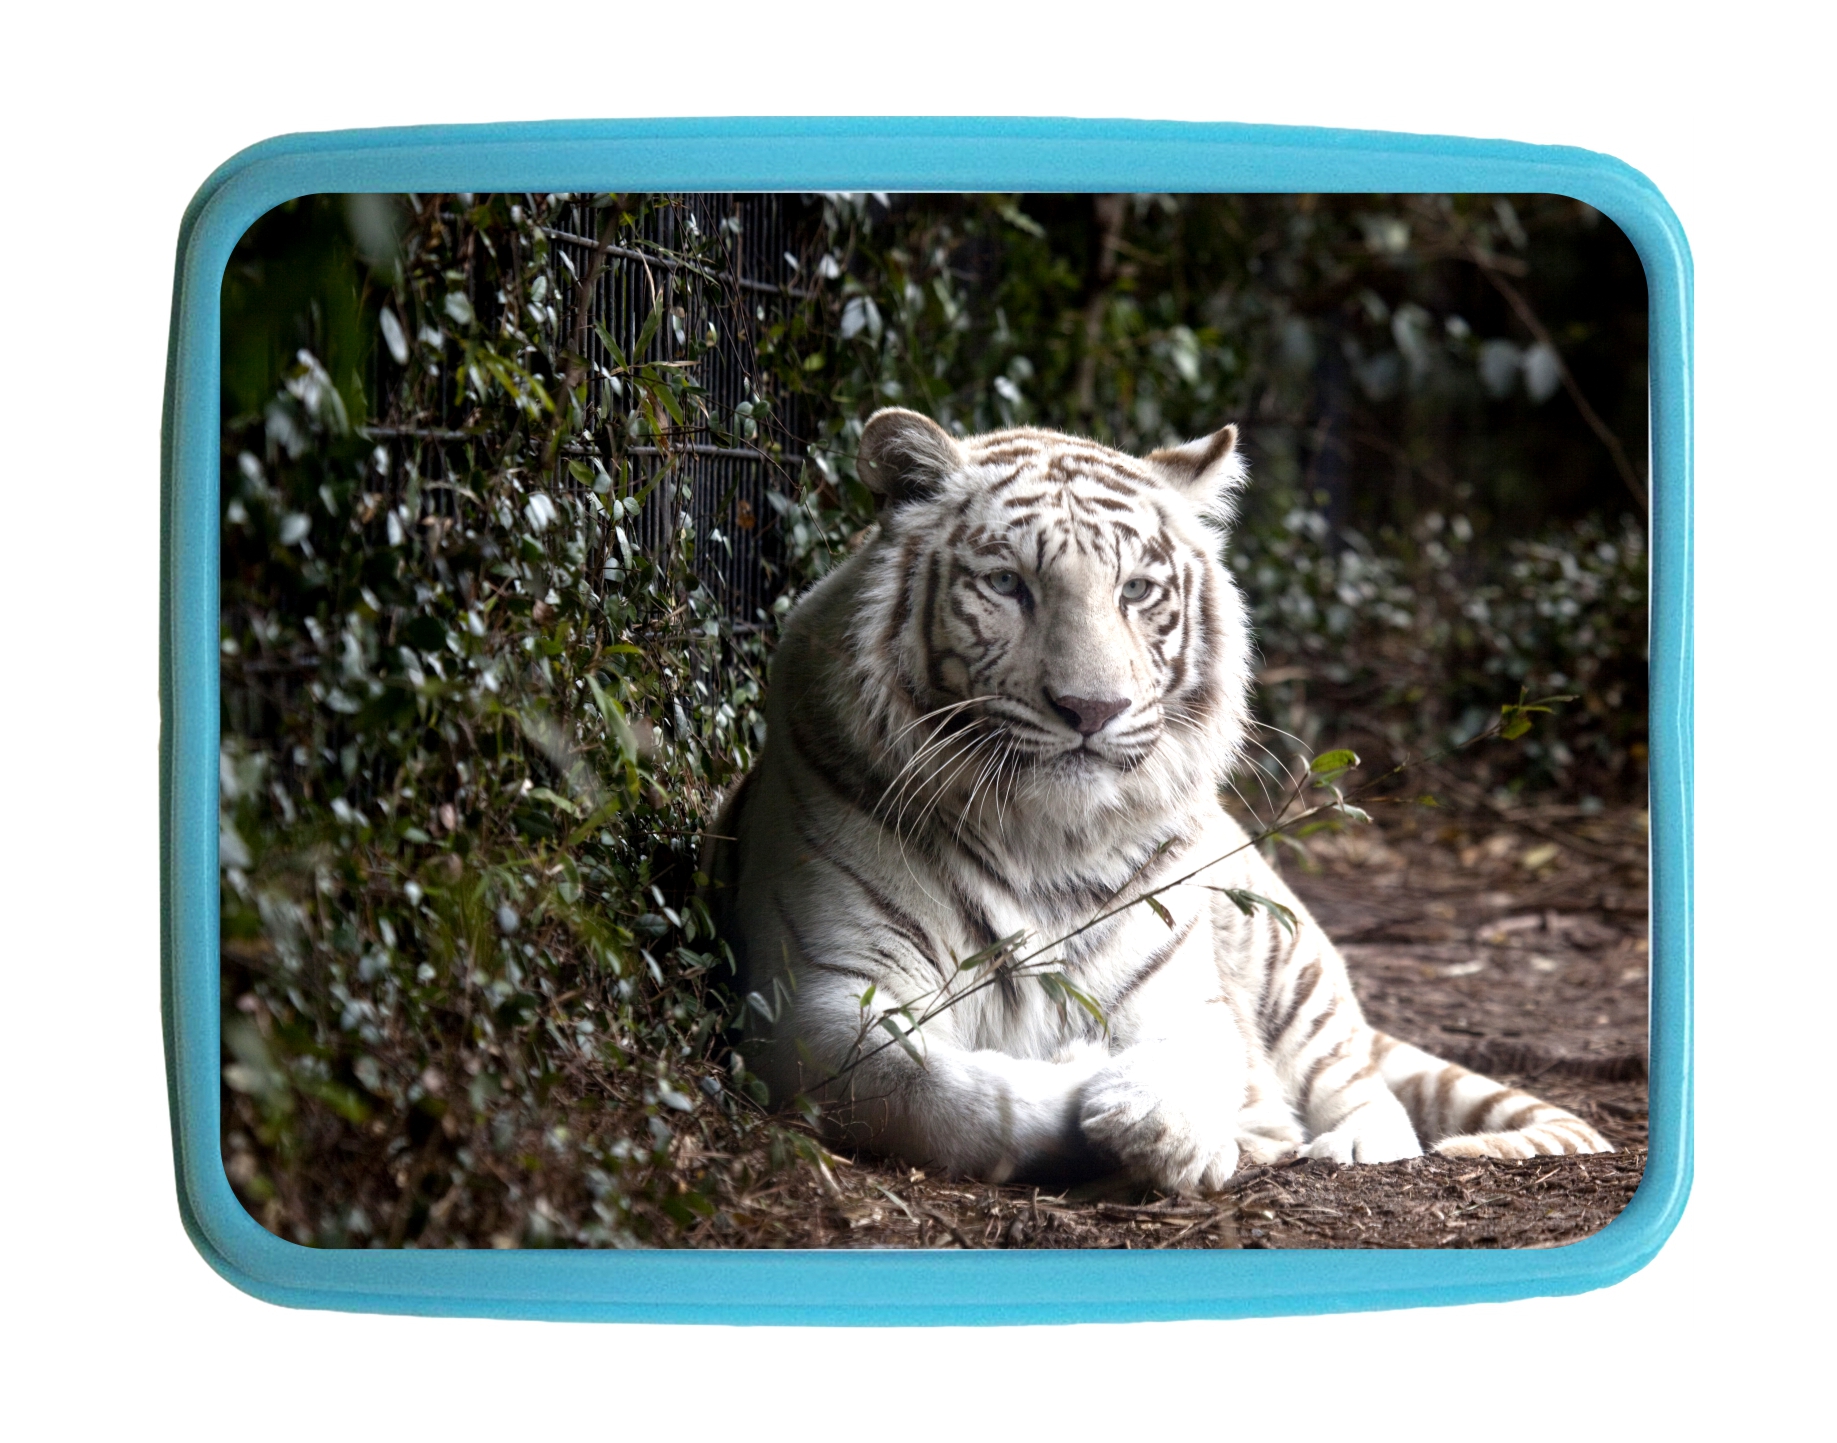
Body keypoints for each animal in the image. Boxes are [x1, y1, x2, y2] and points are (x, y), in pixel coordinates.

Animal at [704, 407, 1610, 1196]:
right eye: (1006, 583)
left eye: (1136, 589)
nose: (1091, 708)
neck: (1039, 837)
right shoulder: (820, 999)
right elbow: (935, 1090)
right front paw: (1084, 1077)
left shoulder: (1188, 999)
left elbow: (1198, 1059)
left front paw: (1165, 1121)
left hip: (1292, 962)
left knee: (1365, 1089)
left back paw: (1336, 1143)